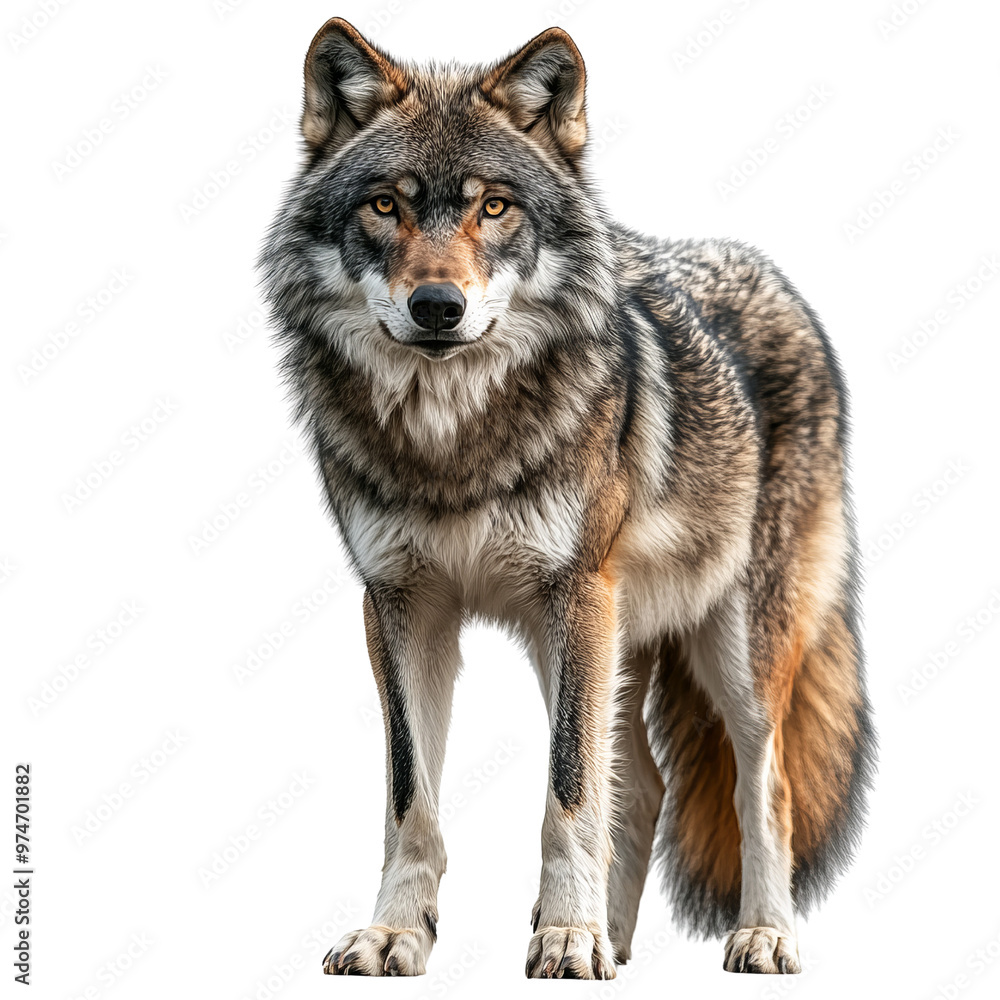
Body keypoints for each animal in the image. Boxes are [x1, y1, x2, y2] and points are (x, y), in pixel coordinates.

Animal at [259, 18, 876, 978]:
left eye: (495, 208)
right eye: (387, 206)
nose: (437, 307)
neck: (453, 442)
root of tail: (779, 280)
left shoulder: (574, 594)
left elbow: (568, 791)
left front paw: (567, 934)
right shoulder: (401, 603)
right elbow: (411, 796)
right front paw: (398, 934)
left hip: (730, 645)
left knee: (763, 783)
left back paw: (763, 935)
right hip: (610, 642)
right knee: (647, 782)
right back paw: (615, 940)